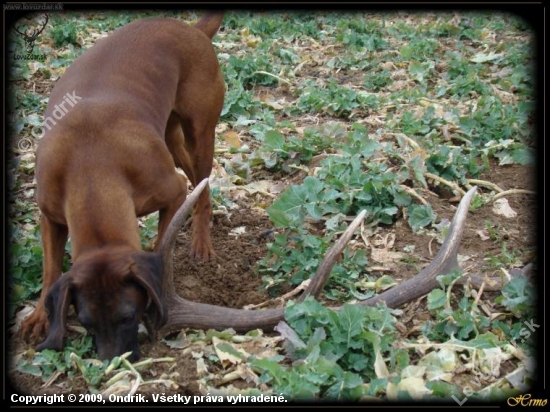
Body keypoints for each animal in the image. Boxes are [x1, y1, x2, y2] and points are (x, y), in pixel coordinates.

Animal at [20, 12, 225, 360]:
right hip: (171, 138)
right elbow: (50, 270)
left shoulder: (173, 191)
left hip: (199, 133)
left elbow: (162, 241)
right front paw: (39, 317)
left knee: (202, 184)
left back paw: (201, 242)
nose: (113, 361)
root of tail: (190, 29)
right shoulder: (51, 216)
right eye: (86, 322)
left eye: (128, 317)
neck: (91, 169)